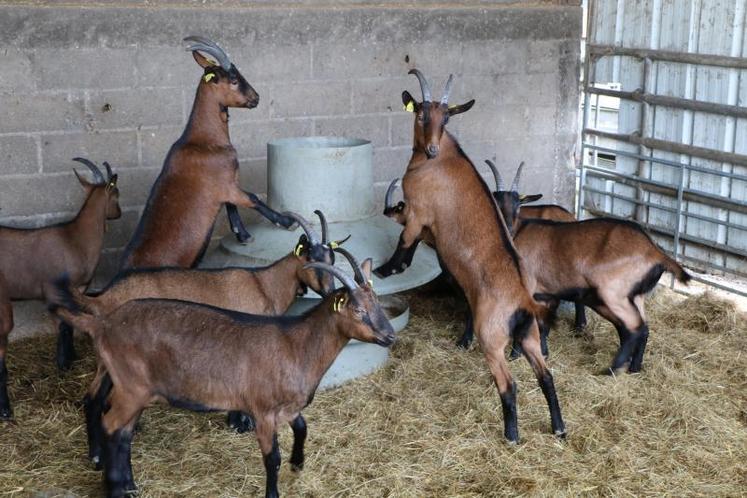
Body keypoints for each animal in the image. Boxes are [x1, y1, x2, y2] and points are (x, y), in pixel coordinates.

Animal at [0, 159, 120, 416]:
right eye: (117, 193)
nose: (119, 213)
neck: (74, 238)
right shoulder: (55, 291)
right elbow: (64, 326)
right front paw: (64, 363)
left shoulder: (77, 290)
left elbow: (71, 323)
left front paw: (70, 358)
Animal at [49, 253, 394, 498]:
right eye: (358, 311)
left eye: (377, 303)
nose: (390, 336)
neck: (296, 345)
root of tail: (103, 323)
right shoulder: (263, 411)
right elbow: (272, 458)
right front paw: (274, 490)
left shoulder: (288, 408)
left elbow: (302, 428)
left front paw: (298, 463)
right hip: (130, 388)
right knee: (111, 425)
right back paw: (116, 487)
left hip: (134, 392)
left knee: (122, 434)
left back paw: (130, 485)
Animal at [119, 36, 296, 272]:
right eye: (233, 79)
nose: (256, 98)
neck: (204, 140)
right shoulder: (226, 185)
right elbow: (252, 199)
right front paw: (287, 222)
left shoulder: (225, 186)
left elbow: (232, 206)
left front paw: (243, 236)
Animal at [376, 70, 564, 444]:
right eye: (422, 113)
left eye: (447, 117)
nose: (431, 148)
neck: (442, 158)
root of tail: (523, 303)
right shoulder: (425, 224)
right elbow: (413, 245)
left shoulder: (417, 211)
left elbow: (404, 241)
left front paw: (386, 269)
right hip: (529, 338)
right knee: (546, 375)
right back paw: (559, 428)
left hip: (491, 339)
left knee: (509, 384)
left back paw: (511, 434)